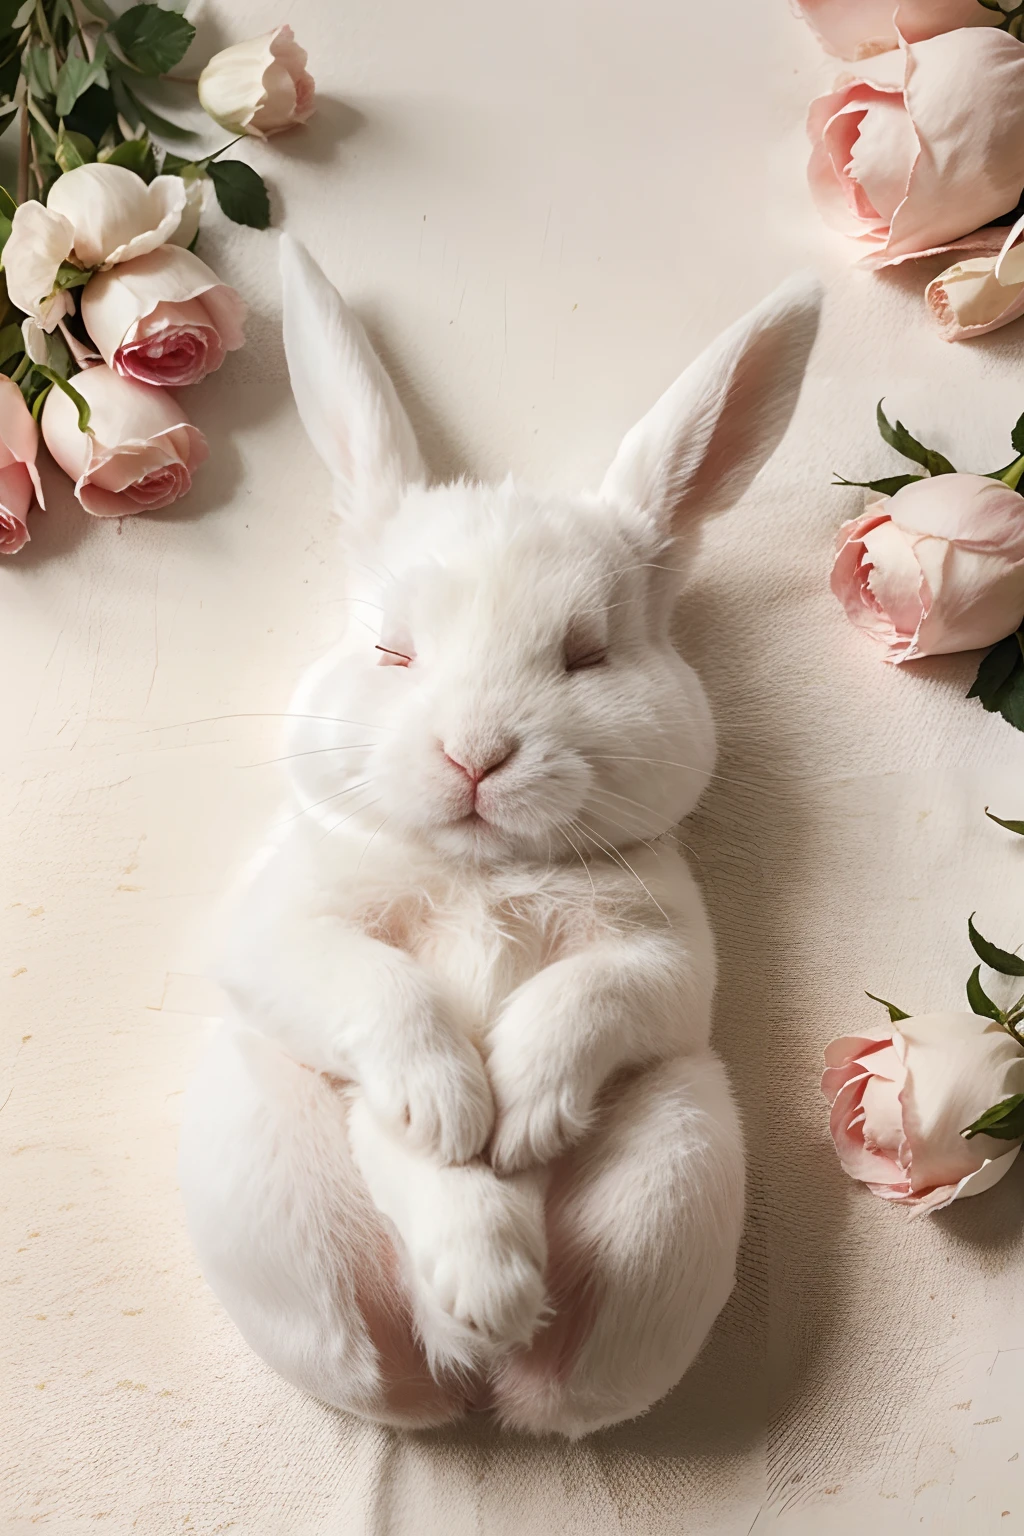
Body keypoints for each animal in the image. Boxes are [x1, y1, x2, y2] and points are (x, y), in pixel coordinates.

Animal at [178, 234, 820, 1439]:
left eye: (586, 654)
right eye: (391, 651)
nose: (475, 755)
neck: (479, 872)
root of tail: (464, 1378)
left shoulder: (668, 962)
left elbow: (583, 1002)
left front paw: (514, 1118)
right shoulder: (279, 938)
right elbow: (384, 1004)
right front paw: (452, 1124)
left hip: (680, 1157)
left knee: (564, 1394)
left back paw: (514, 1352)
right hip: (266, 1182)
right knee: (385, 1378)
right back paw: (473, 1322)